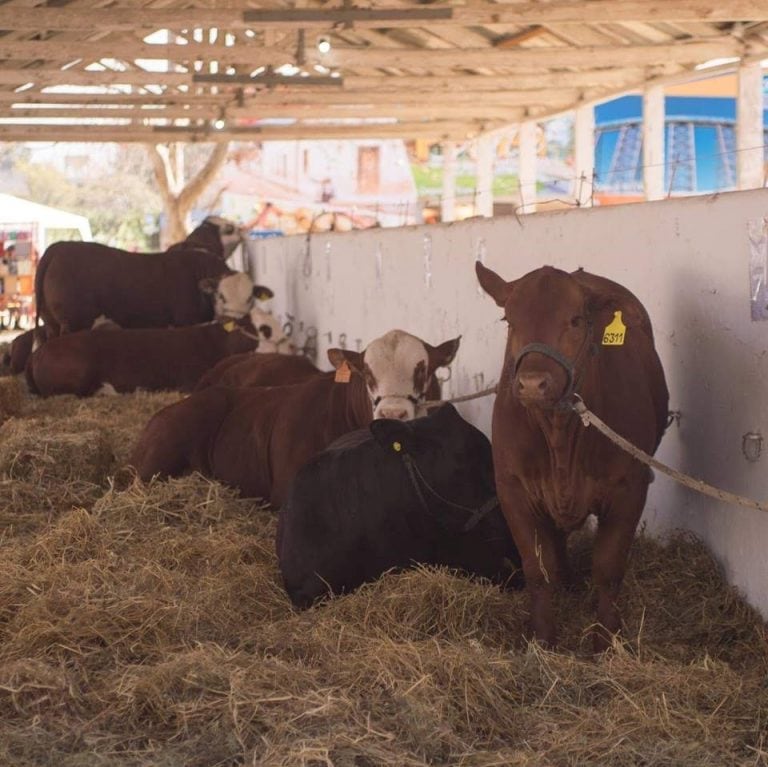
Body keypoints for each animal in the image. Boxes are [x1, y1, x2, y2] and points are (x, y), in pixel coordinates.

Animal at [476, 264, 668, 656]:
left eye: (576, 320)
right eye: (509, 320)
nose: (532, 384)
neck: (560, 435)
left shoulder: (629, 488)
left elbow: (608, 569)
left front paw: (604, 640)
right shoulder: (513, 490)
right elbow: (537, 569)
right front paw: (543, 639)